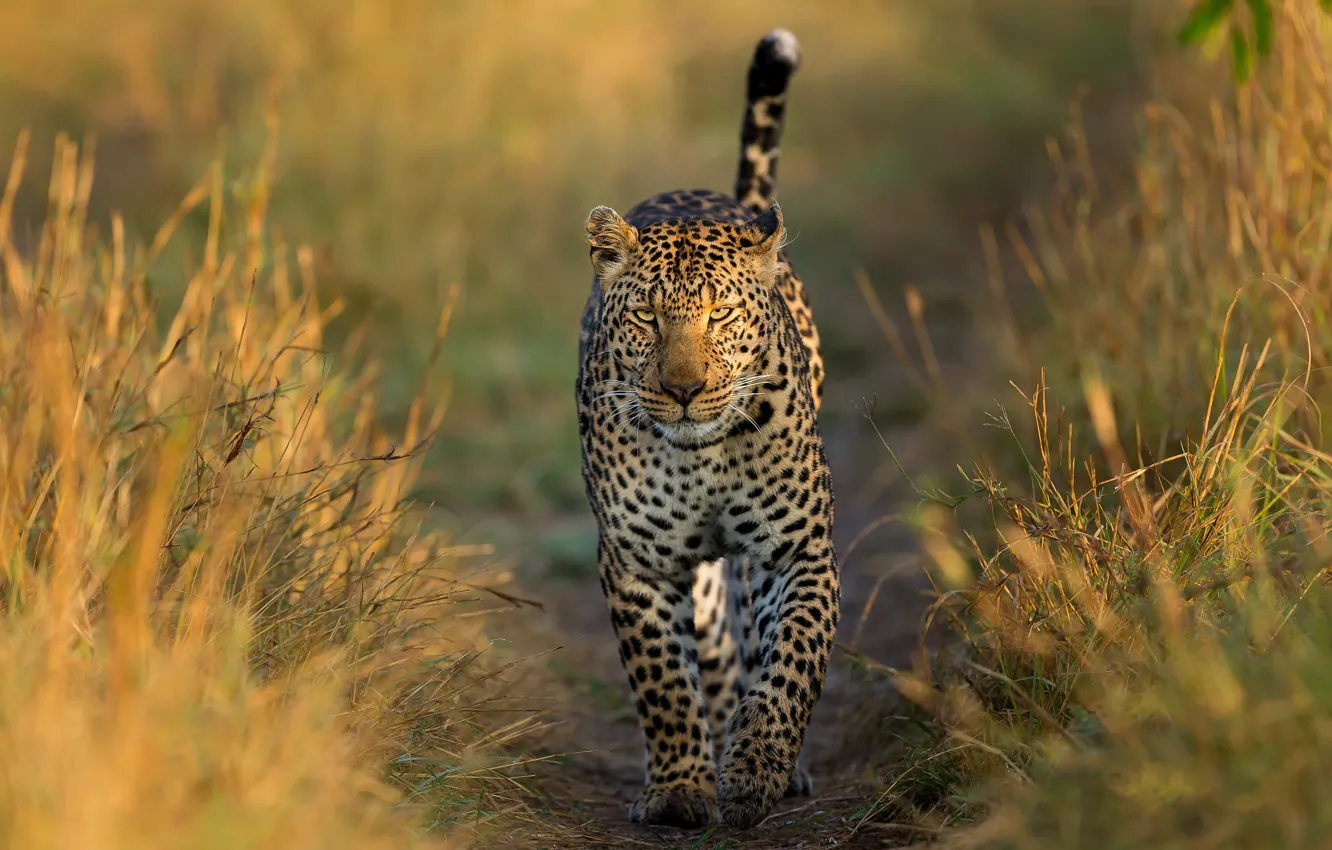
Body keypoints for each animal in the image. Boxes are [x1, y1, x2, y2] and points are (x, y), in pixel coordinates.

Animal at [575, 28, 839, 830]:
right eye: (645, 317)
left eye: (720, 316)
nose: (685, 391)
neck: (703, 461)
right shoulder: (638, 565)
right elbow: (663, 683)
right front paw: (679, 789)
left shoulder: (798, 551)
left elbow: (791, 665)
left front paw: (755, 772)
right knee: (717, 660)